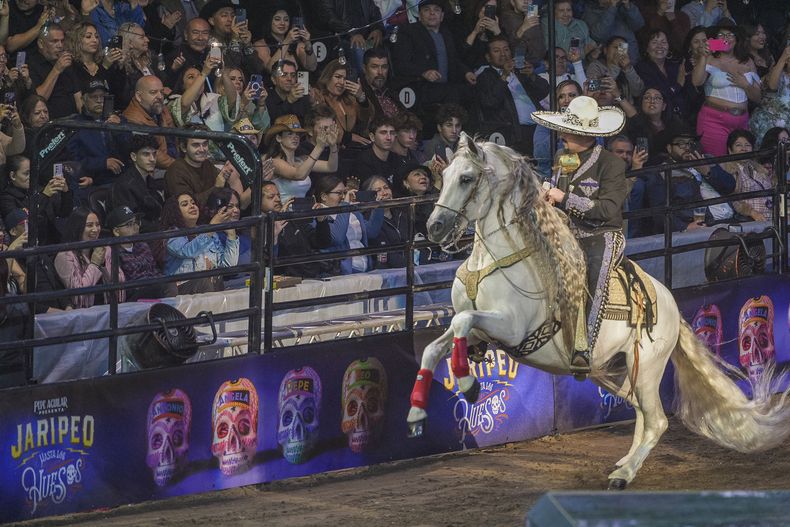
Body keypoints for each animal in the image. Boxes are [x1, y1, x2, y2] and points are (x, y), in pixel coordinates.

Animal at [407, 133, 790, 489]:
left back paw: (624, 474)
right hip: (620, 371)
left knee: (658, 420)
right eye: (445, 176)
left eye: (467, 178)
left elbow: (462, 320)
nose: (434, 227)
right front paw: (415, 415)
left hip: (647, 368)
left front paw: (468, 384)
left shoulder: (512, 329)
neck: (496, 260)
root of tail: (668, 302)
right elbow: (434, 346)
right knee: (642, 414)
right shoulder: (479, 330)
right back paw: (625, 461)